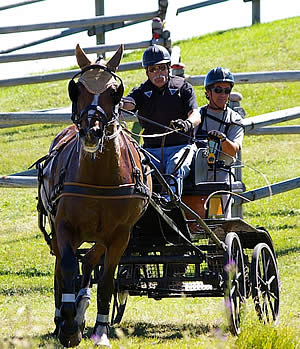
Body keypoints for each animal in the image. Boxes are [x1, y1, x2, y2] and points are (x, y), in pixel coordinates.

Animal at [38, 44, 152, 346]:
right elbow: (67, 269)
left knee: (90, 262)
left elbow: (107, 282)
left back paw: (82, 306)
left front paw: (100, 330)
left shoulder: (120, 235)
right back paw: (63, 317)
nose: (93, 131)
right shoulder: (64, 226)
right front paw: (68, 327)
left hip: (104, 237)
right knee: (62, 266)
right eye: (76, 89)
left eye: (115, 91)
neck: (99, 179)